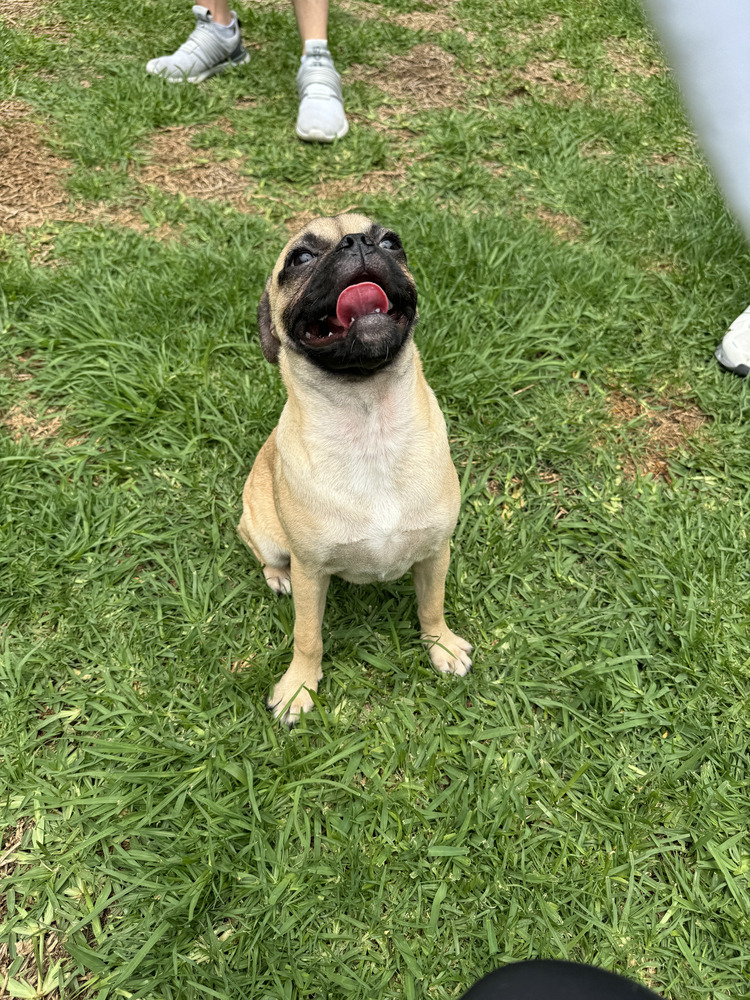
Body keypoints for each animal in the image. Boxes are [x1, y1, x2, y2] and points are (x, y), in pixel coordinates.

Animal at [241, 215, 472, 724]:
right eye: (300, 258)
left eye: (392, 242)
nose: (360, 243)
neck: (370, 422)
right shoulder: (311, 572)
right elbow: (307, 636)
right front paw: (298, 686)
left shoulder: (435, 553)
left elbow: (432, 607)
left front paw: (441, 646)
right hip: (262, 531)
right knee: (266, 556)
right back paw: (277, 576)